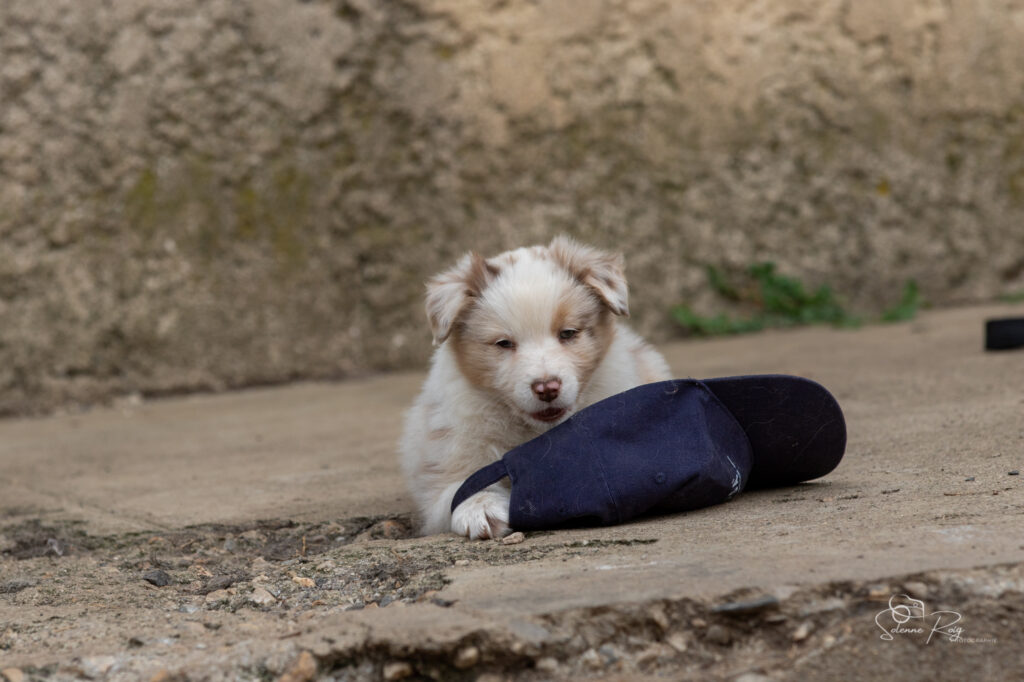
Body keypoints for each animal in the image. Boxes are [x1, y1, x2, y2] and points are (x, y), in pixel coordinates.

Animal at [399, 236, 672, 539]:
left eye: (568, 333)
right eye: (504, 343)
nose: (547, 389)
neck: (535, 431)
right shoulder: (448, 453)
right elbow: (460, 484)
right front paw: (481, 508)